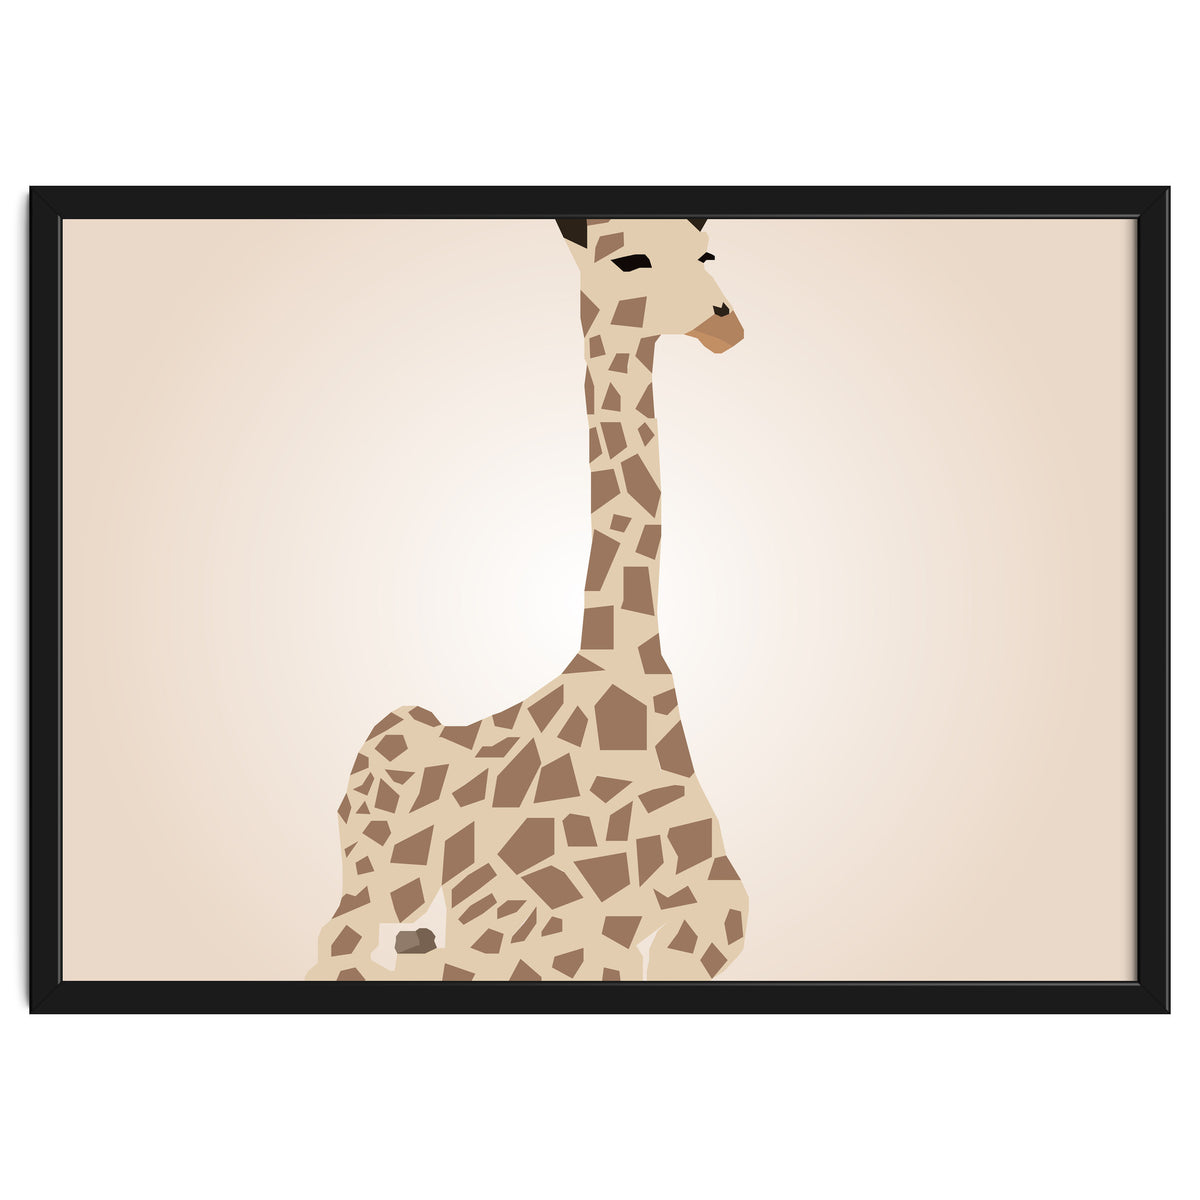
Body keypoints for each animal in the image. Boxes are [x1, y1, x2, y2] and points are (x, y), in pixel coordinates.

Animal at [306, 218, 749, 982]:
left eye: (707, 253)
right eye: (629, 260)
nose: (725, 324)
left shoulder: (711, 912)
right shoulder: (534, 939)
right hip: (375, 886)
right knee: (343, 948)